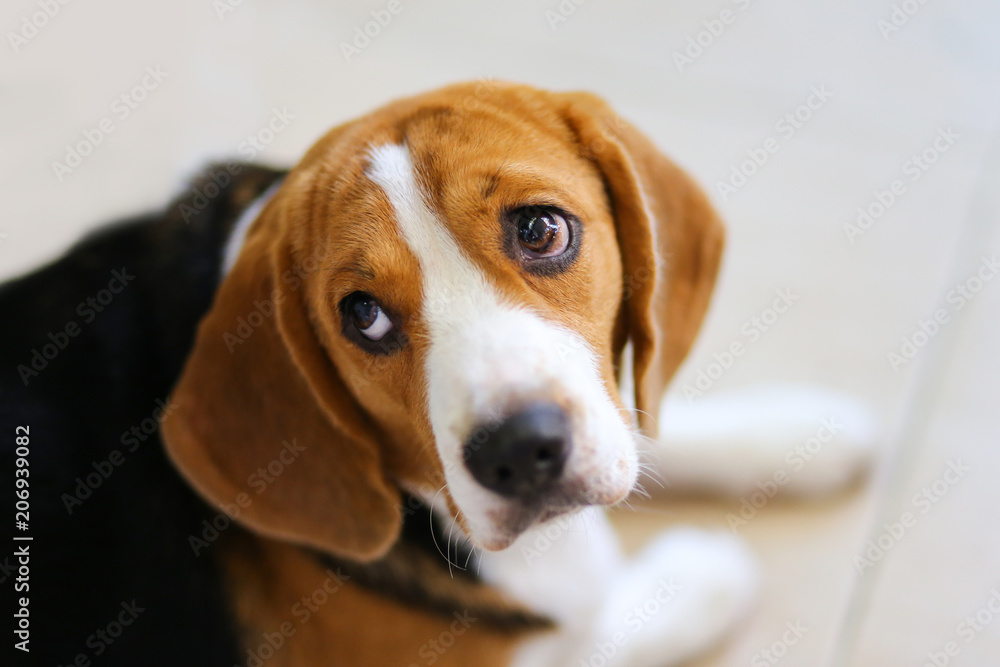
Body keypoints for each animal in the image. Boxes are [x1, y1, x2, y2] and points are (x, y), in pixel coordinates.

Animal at [1, 83, 868, 667]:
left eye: (541, 229)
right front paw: (703, 572)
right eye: (362, 315)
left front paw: (799, 431)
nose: (520, 451)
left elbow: (644, 424)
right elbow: (597, 626)